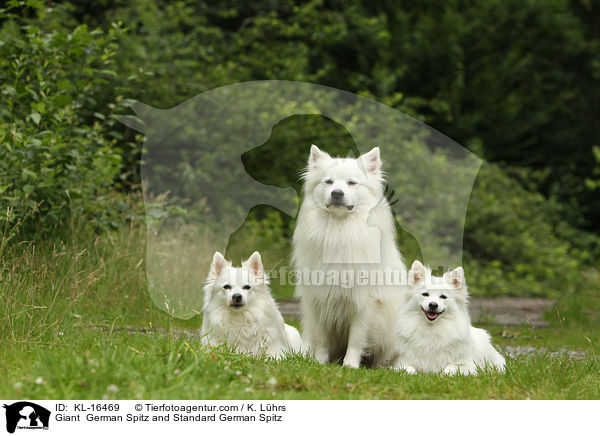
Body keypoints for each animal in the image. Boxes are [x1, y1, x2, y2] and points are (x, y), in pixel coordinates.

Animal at [292, 146, 406, 368]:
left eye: (352, 183)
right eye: (328, 182)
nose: (337, 193)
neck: (339, 229)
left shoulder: (364, 302)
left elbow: (356, 338)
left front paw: (350, 365)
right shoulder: (320, 299)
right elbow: (322, 339)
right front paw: (319, 362)